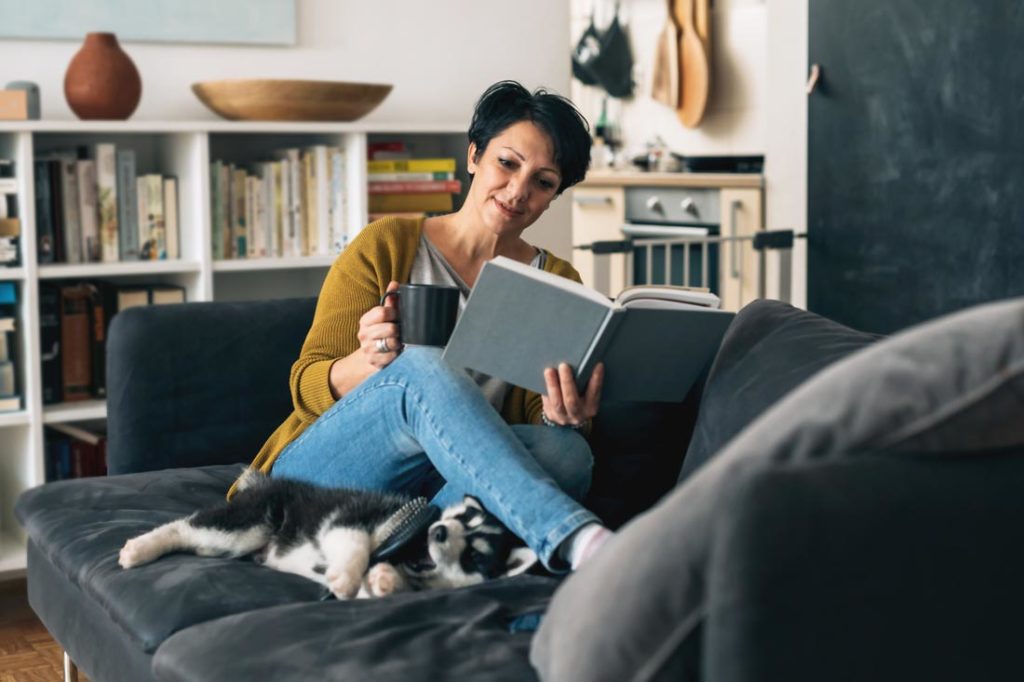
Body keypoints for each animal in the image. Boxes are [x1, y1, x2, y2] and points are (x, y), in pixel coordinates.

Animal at [119, 464, 536, 598]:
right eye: (462, 518)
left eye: (474, 555)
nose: (439, 533)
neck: (409, 544)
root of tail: (265, 481)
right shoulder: (349, 518)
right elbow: (356, 547)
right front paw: (348, 576)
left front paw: (384, 579)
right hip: (248, 524)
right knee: (183, 527)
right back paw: (139, 548)